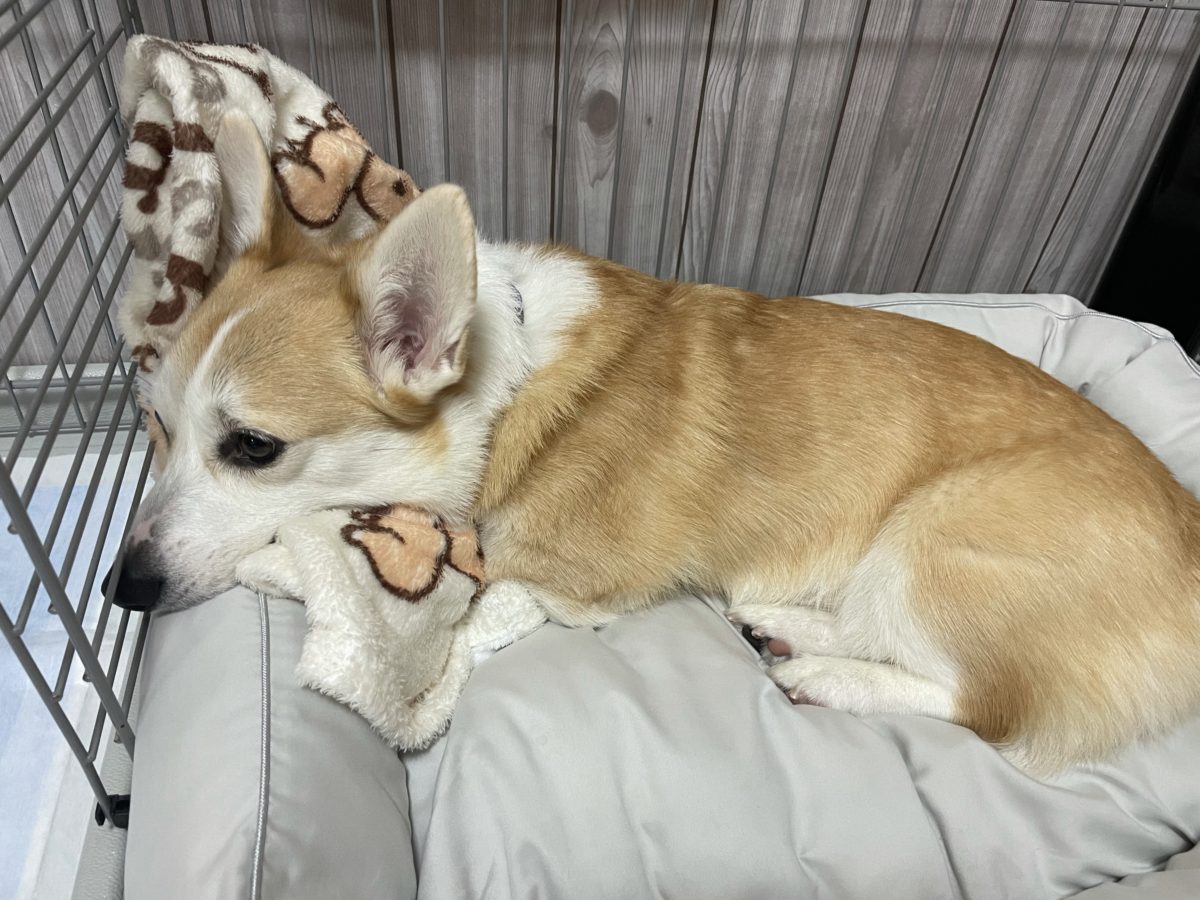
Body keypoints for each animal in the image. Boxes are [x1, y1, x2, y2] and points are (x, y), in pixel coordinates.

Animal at [112, 114, 1200, 773]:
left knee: (990, 706)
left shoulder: (572, 583)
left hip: (930, 542)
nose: (121, 590)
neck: (504, 387)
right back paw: (788, 625)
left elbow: (483, 613)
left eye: (253, 447)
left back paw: (822, 672)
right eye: (156, 424)